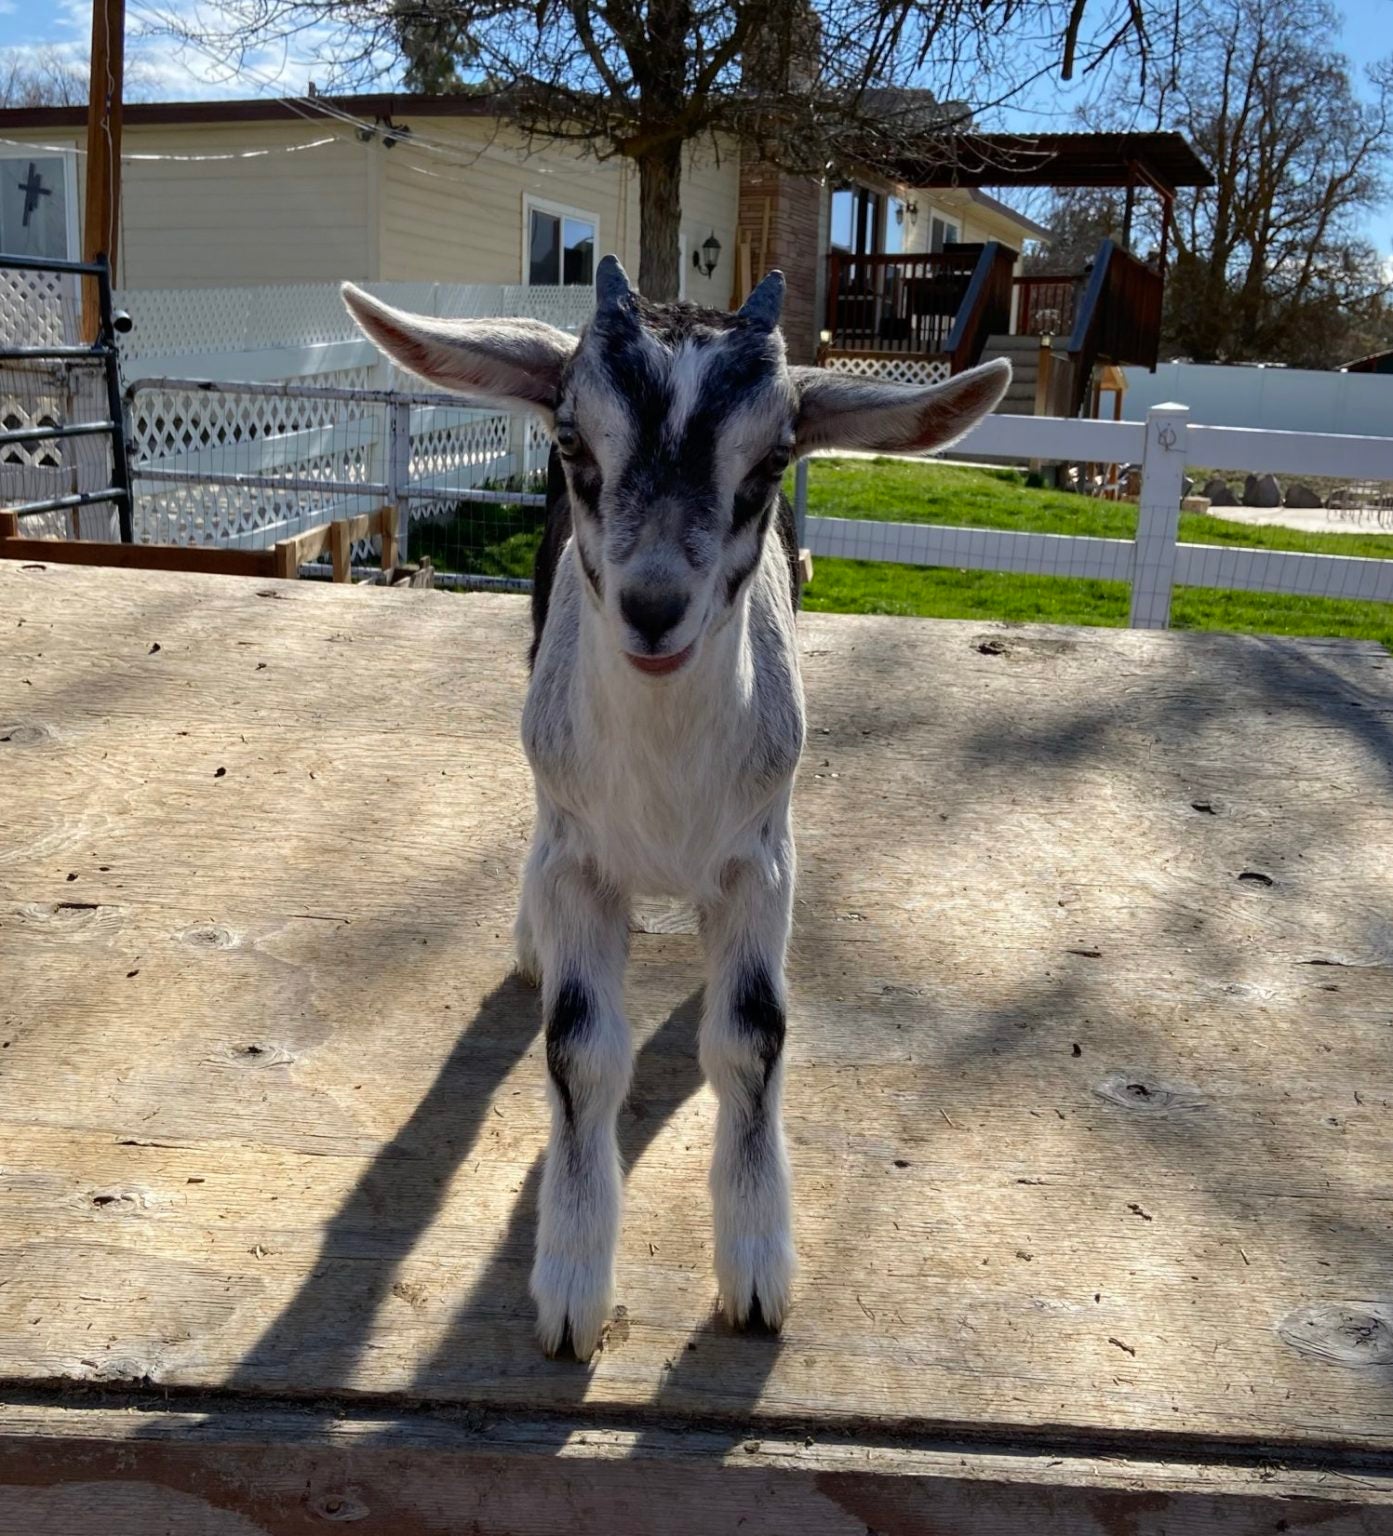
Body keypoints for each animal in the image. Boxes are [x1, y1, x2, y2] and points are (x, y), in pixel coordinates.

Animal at [343, 260, 1009, 1358]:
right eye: (573, 441)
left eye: (773, 457)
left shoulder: (759, 858)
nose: (654, 606)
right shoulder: (581, 860)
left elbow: (752, 1036)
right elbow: (578, 1045)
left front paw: (757, 1273)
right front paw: (571, 1287)